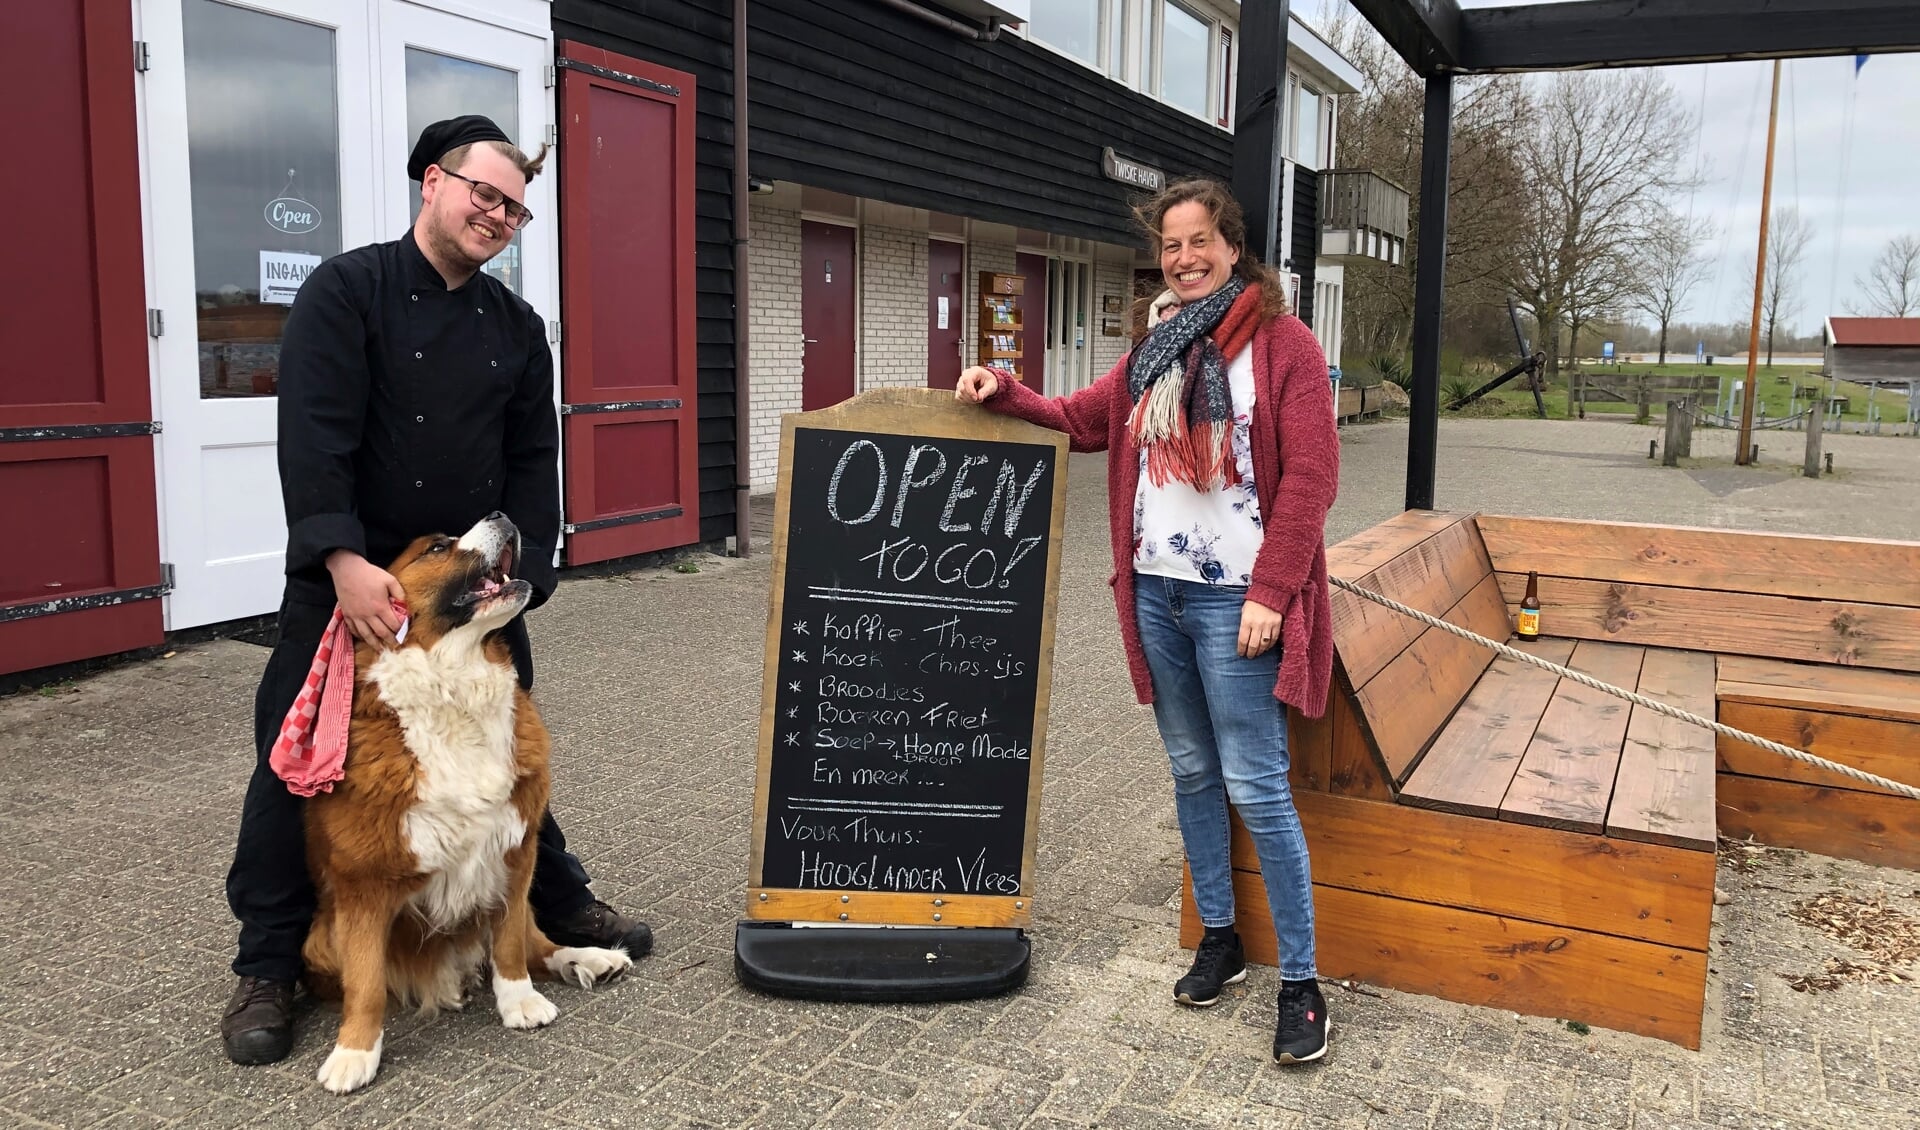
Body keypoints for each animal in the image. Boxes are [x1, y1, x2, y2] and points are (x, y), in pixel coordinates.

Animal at [301, 514, 629, 1089]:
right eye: (436, 548)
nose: (502, 515)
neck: (453, 689)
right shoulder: (361, 885)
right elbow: (365, 981)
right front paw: (354, 1053)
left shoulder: (515, 851)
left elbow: (511, 944)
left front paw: (520, 1002)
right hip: (319, 936)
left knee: (537, 942)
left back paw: (586, 958)